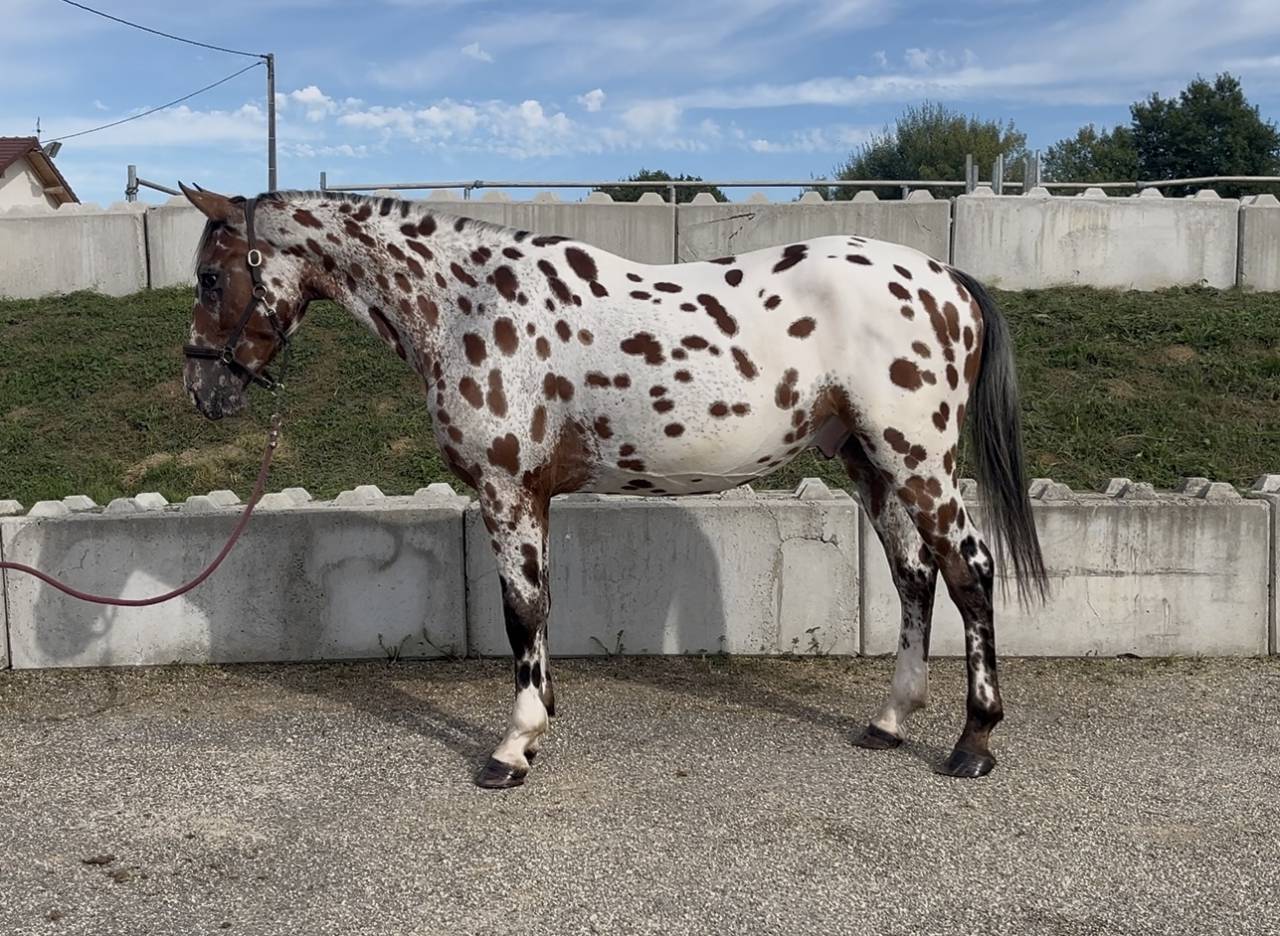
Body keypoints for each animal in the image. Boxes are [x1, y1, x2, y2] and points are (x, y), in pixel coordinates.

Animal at [177, 183, 1047, 788]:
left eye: (211, 278)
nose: (203, 394)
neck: (469, 306)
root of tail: (947, 278)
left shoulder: (506, 491)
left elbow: (519, 611)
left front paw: (512, 746)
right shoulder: (533, 498)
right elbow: (538, 610)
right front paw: (538, 724)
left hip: (917, 459)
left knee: (969, 572)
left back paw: (973, 743)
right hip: (871, 464)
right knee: (914, 576)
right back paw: (890, 721)